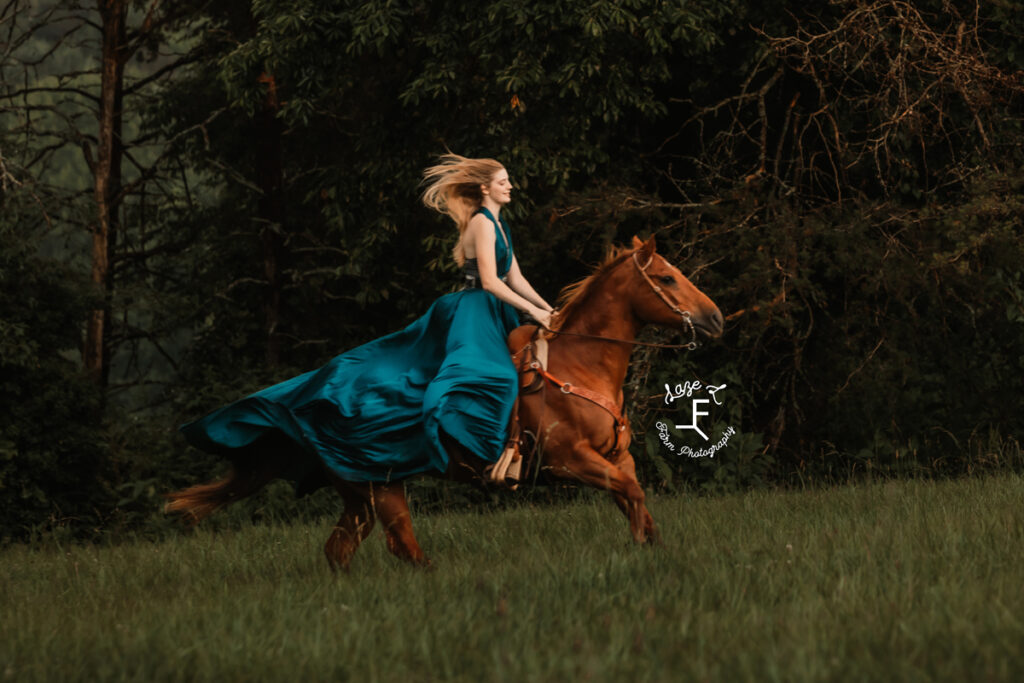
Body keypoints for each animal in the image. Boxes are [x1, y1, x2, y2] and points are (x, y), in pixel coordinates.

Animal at [165, 235, 720, 573]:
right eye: (666, 279)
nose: (714, 318)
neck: (579, 364)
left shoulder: (614, 456)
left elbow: (634, 497)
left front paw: (652, 550)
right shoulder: (569, 462)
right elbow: (632, 492)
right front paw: (646, 549)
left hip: (360, 497)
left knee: (340, 549)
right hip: (383, 492)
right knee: (405, 548)